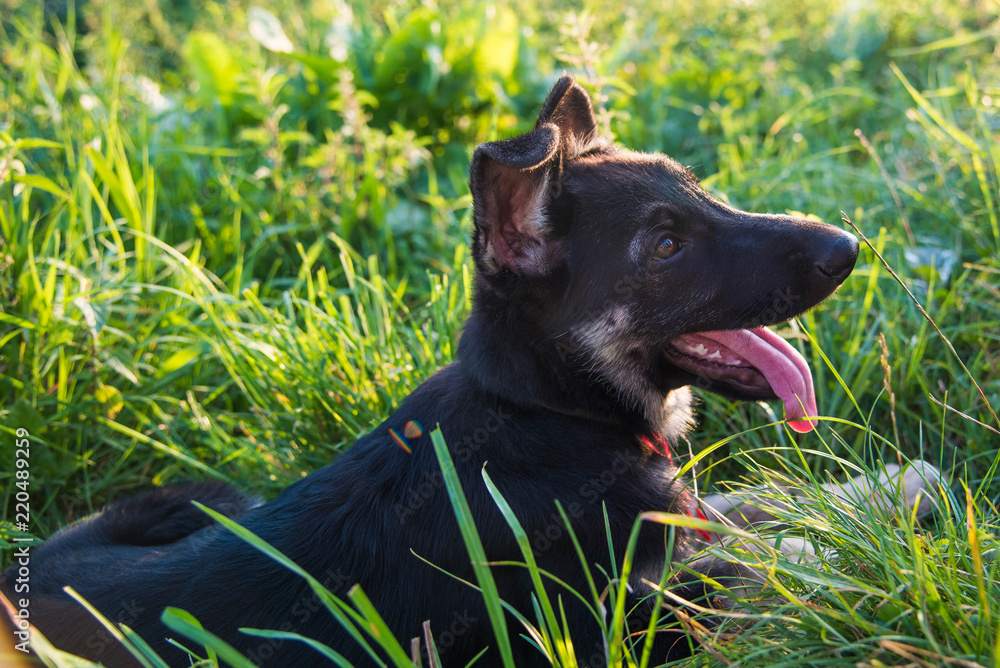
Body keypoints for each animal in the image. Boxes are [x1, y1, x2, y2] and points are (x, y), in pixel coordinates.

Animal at [0, 75, 940, 664]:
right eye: (667, 245)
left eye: (701, 190)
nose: (848, 249)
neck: (546, 412)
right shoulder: (624, 623)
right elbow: (763, 559)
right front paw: (876, 532)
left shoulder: (674, 530)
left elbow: (756, 508)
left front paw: (883, 490)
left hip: (203, 502)